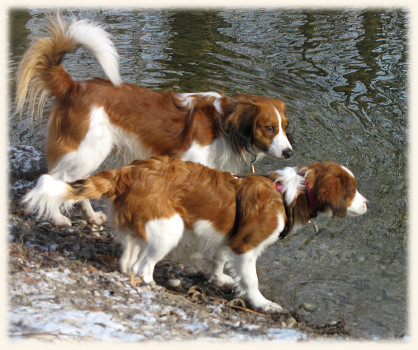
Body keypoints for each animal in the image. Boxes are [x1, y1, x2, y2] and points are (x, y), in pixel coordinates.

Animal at [16, 14, 294, 227]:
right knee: (49, 180)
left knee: (75, 185)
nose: (289, 153)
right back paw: (56, 218)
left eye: (284, 127)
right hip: (85, 152)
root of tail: (73, 87)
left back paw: (92, 217)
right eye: (269, 128)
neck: (222, 125)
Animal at [23, 156, 370, 312]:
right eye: (352, 190)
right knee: (143, 268)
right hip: (170, 227)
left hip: (140, 228)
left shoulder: (228, 240)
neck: (286, 196)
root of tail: (129, 170)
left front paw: (220, 279)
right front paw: (262, 303)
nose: (368, 204)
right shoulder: (245, 247)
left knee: (127, 263)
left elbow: (218, 261)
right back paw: (153, 286)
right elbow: (252, 280)